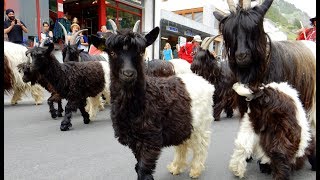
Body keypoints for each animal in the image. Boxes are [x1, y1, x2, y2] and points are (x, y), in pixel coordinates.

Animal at [104, 26, 215, 179]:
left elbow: (143, 168)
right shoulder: (135, 140)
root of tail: (203, 80)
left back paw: (195, 170)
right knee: (183, 143)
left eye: (141, 52)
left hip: (200, 125)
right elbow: (139, 165)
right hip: (183, 123)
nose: (128, 73)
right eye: (112, 52)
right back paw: (176, 167)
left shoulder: (151, 139)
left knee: (201, 145)